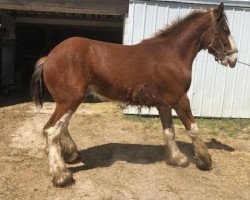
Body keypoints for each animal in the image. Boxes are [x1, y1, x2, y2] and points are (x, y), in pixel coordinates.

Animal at [30, 2, 237, 188]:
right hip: (70, 100)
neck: (172, 54)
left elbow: (169, 131)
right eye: (225, 30)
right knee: (51, 131)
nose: (234, 57)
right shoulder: (180, 100)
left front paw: (177, 159)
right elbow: (193, 128)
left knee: (60, 127)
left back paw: (72, 156)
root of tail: (49, 57)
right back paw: (62, 176)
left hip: (67, 102)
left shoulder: (164, 104)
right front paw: (205, 160)